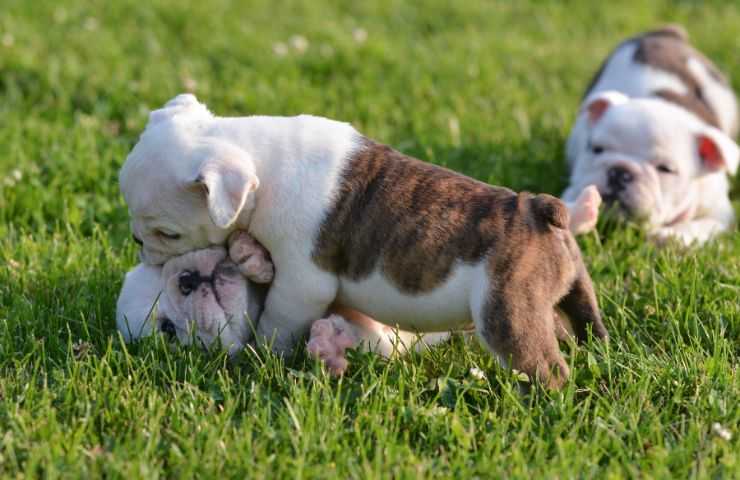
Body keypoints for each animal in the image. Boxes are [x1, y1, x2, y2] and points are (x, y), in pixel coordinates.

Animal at [119, 94, 607, 388]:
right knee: (585, 321)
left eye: (166, 232)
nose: (139, 244)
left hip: (505, 312)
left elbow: (278, 320)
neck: (260, 162)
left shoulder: (301, 283)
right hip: (569, 289)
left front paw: (265, 357)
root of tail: (538, 212)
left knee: (542, 365)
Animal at [563, 25, 739, 245]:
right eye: (597, 149)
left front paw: (669, 236)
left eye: (665, 169)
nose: (620, 171)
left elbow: (700, 226)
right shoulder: (575, 186)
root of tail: (665, 33)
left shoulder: (719, 213)